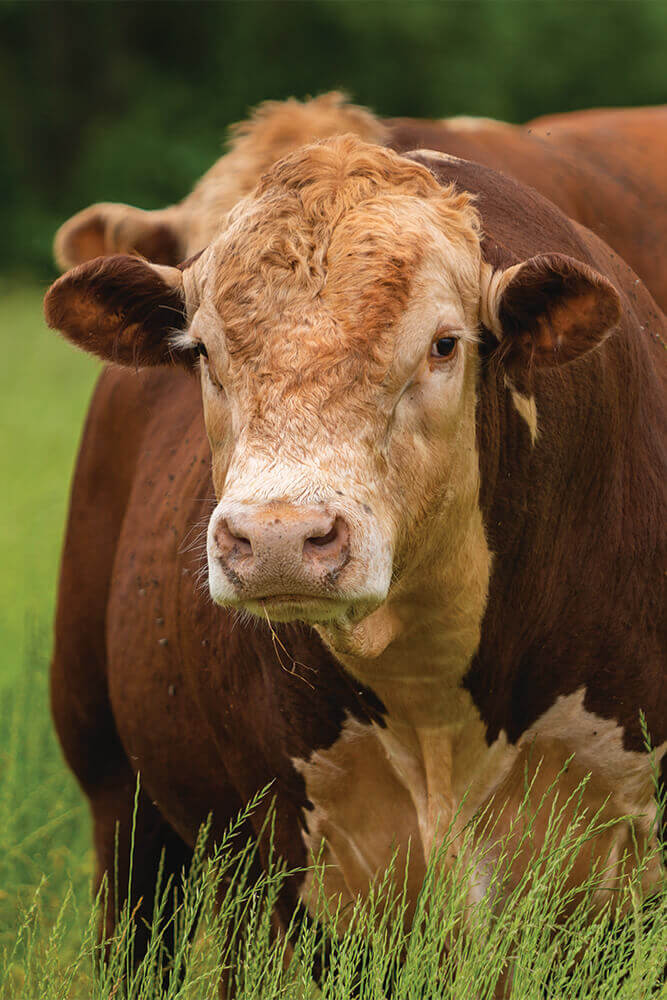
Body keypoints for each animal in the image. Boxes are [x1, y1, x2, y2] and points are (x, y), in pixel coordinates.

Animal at [44, 135, 664, 984]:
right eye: (200, 350)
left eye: (443, 344)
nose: (277, 540)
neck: (437, 699)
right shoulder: (284, 880)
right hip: (118, 797)